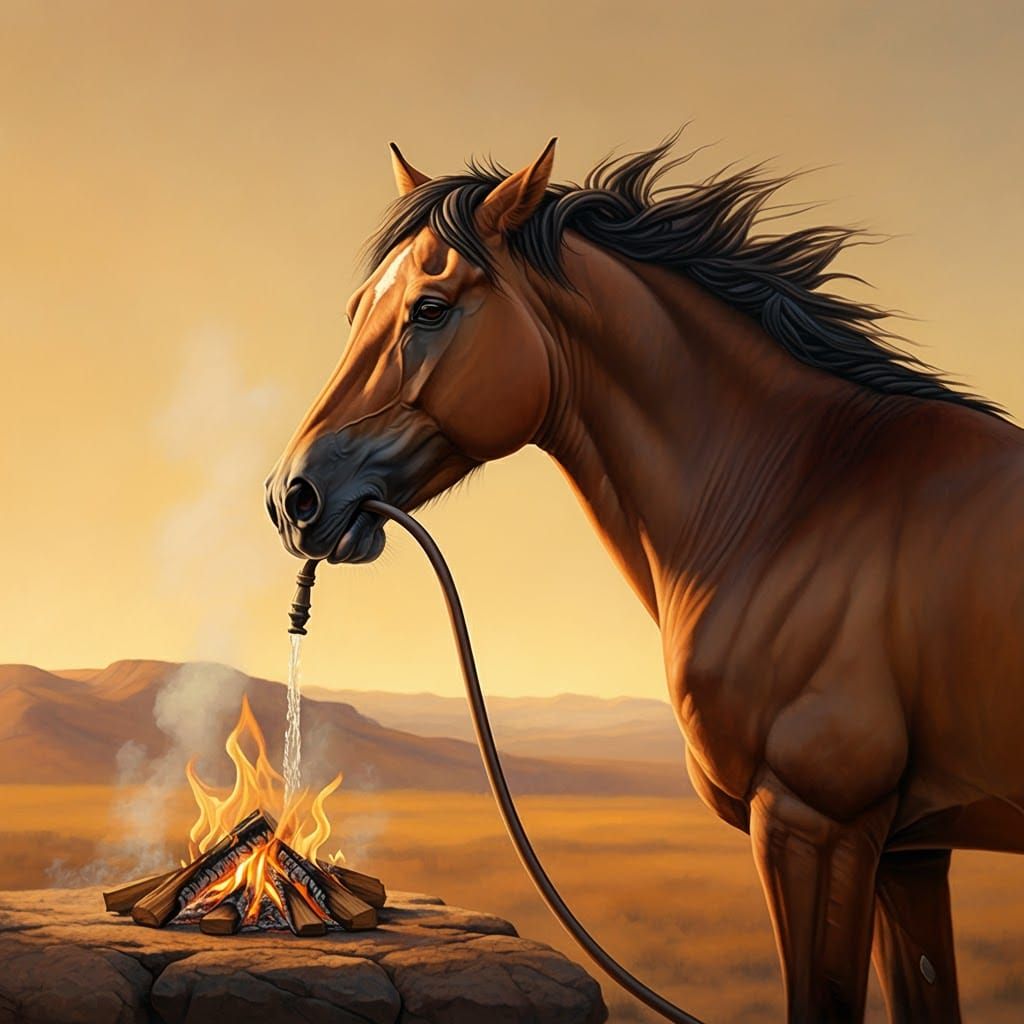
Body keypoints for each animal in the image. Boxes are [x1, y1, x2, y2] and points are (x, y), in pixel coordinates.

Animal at [266, 134, 1024, 1023]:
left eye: (431, 308)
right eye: (357, 309)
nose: (293, 496)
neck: (796, 495)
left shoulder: (815, 822)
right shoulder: (911, 849)